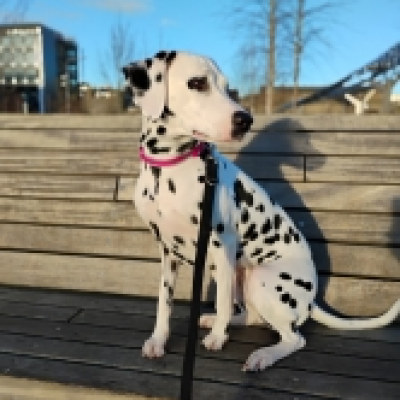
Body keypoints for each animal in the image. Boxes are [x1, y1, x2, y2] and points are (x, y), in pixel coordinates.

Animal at [122, 50, 400, 372]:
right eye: (197, 83)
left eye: (227, 87)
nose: (245, 120)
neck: (167, 168)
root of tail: (311, 299)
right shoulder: (168, 253)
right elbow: (164, 303)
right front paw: (159, 340)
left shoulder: (222, 244)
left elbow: (221, 302)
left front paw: (218, 339)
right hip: (234, 274)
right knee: (249, 315)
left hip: (261, 280)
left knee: (293, 337)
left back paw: (262, 354)